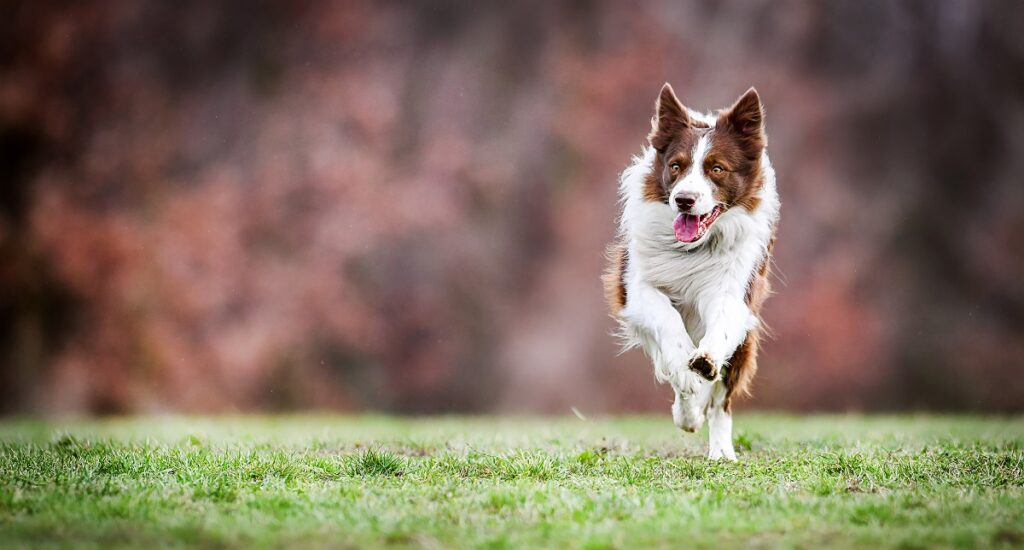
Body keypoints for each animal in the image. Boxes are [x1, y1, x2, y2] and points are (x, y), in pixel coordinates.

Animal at [602, 81, 778, 458]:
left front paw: (705, 359)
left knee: (722, 403)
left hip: (745, 345)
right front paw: (686, 370)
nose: (684, 199)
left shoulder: (734, 292)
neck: (693, 249)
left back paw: (721, 451)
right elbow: (667, 320)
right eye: (676, 166)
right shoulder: (636, 289)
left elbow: (721, 328)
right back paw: (688, 409)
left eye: (717, 168)